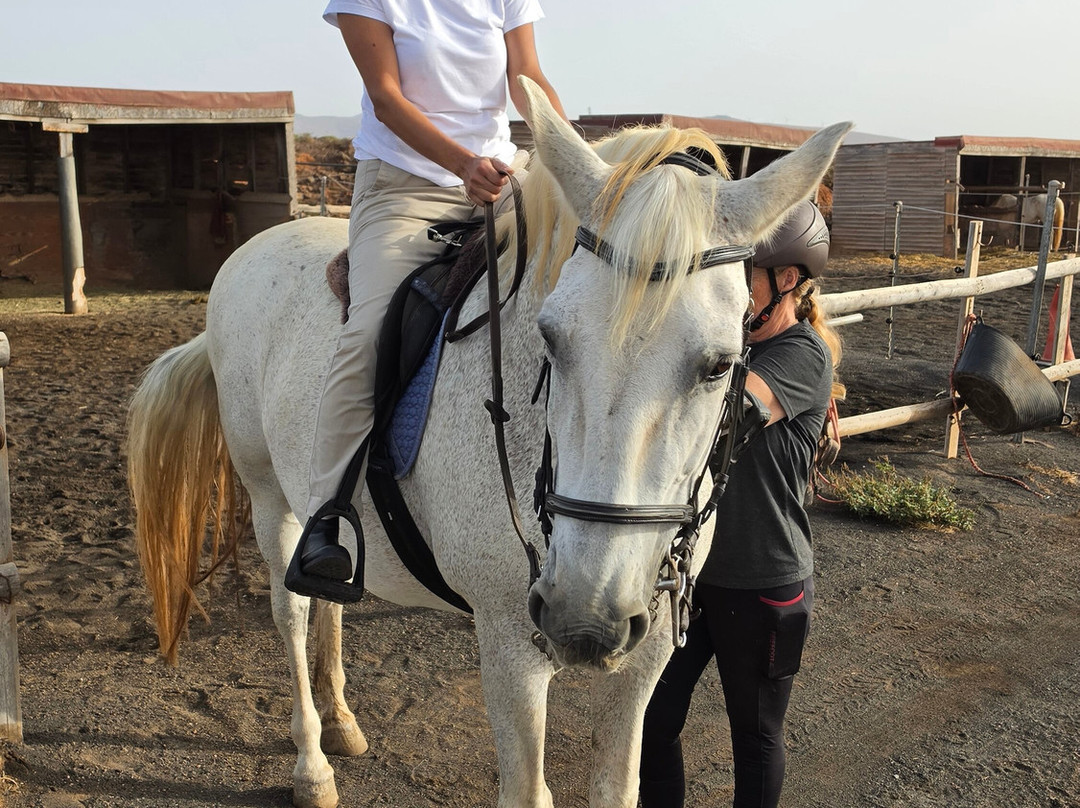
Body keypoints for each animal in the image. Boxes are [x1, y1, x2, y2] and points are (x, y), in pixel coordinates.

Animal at [127, 77, 850, 808]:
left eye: (721, 363)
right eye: (551, 337)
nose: (583, 620)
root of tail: (253, 248)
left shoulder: (643, 657)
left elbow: (618, 783)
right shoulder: (510, 645)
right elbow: (527, 790)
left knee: (326, 596)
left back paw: (342, 720)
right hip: (268, 495)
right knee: (293, 613)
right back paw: (312, 764)